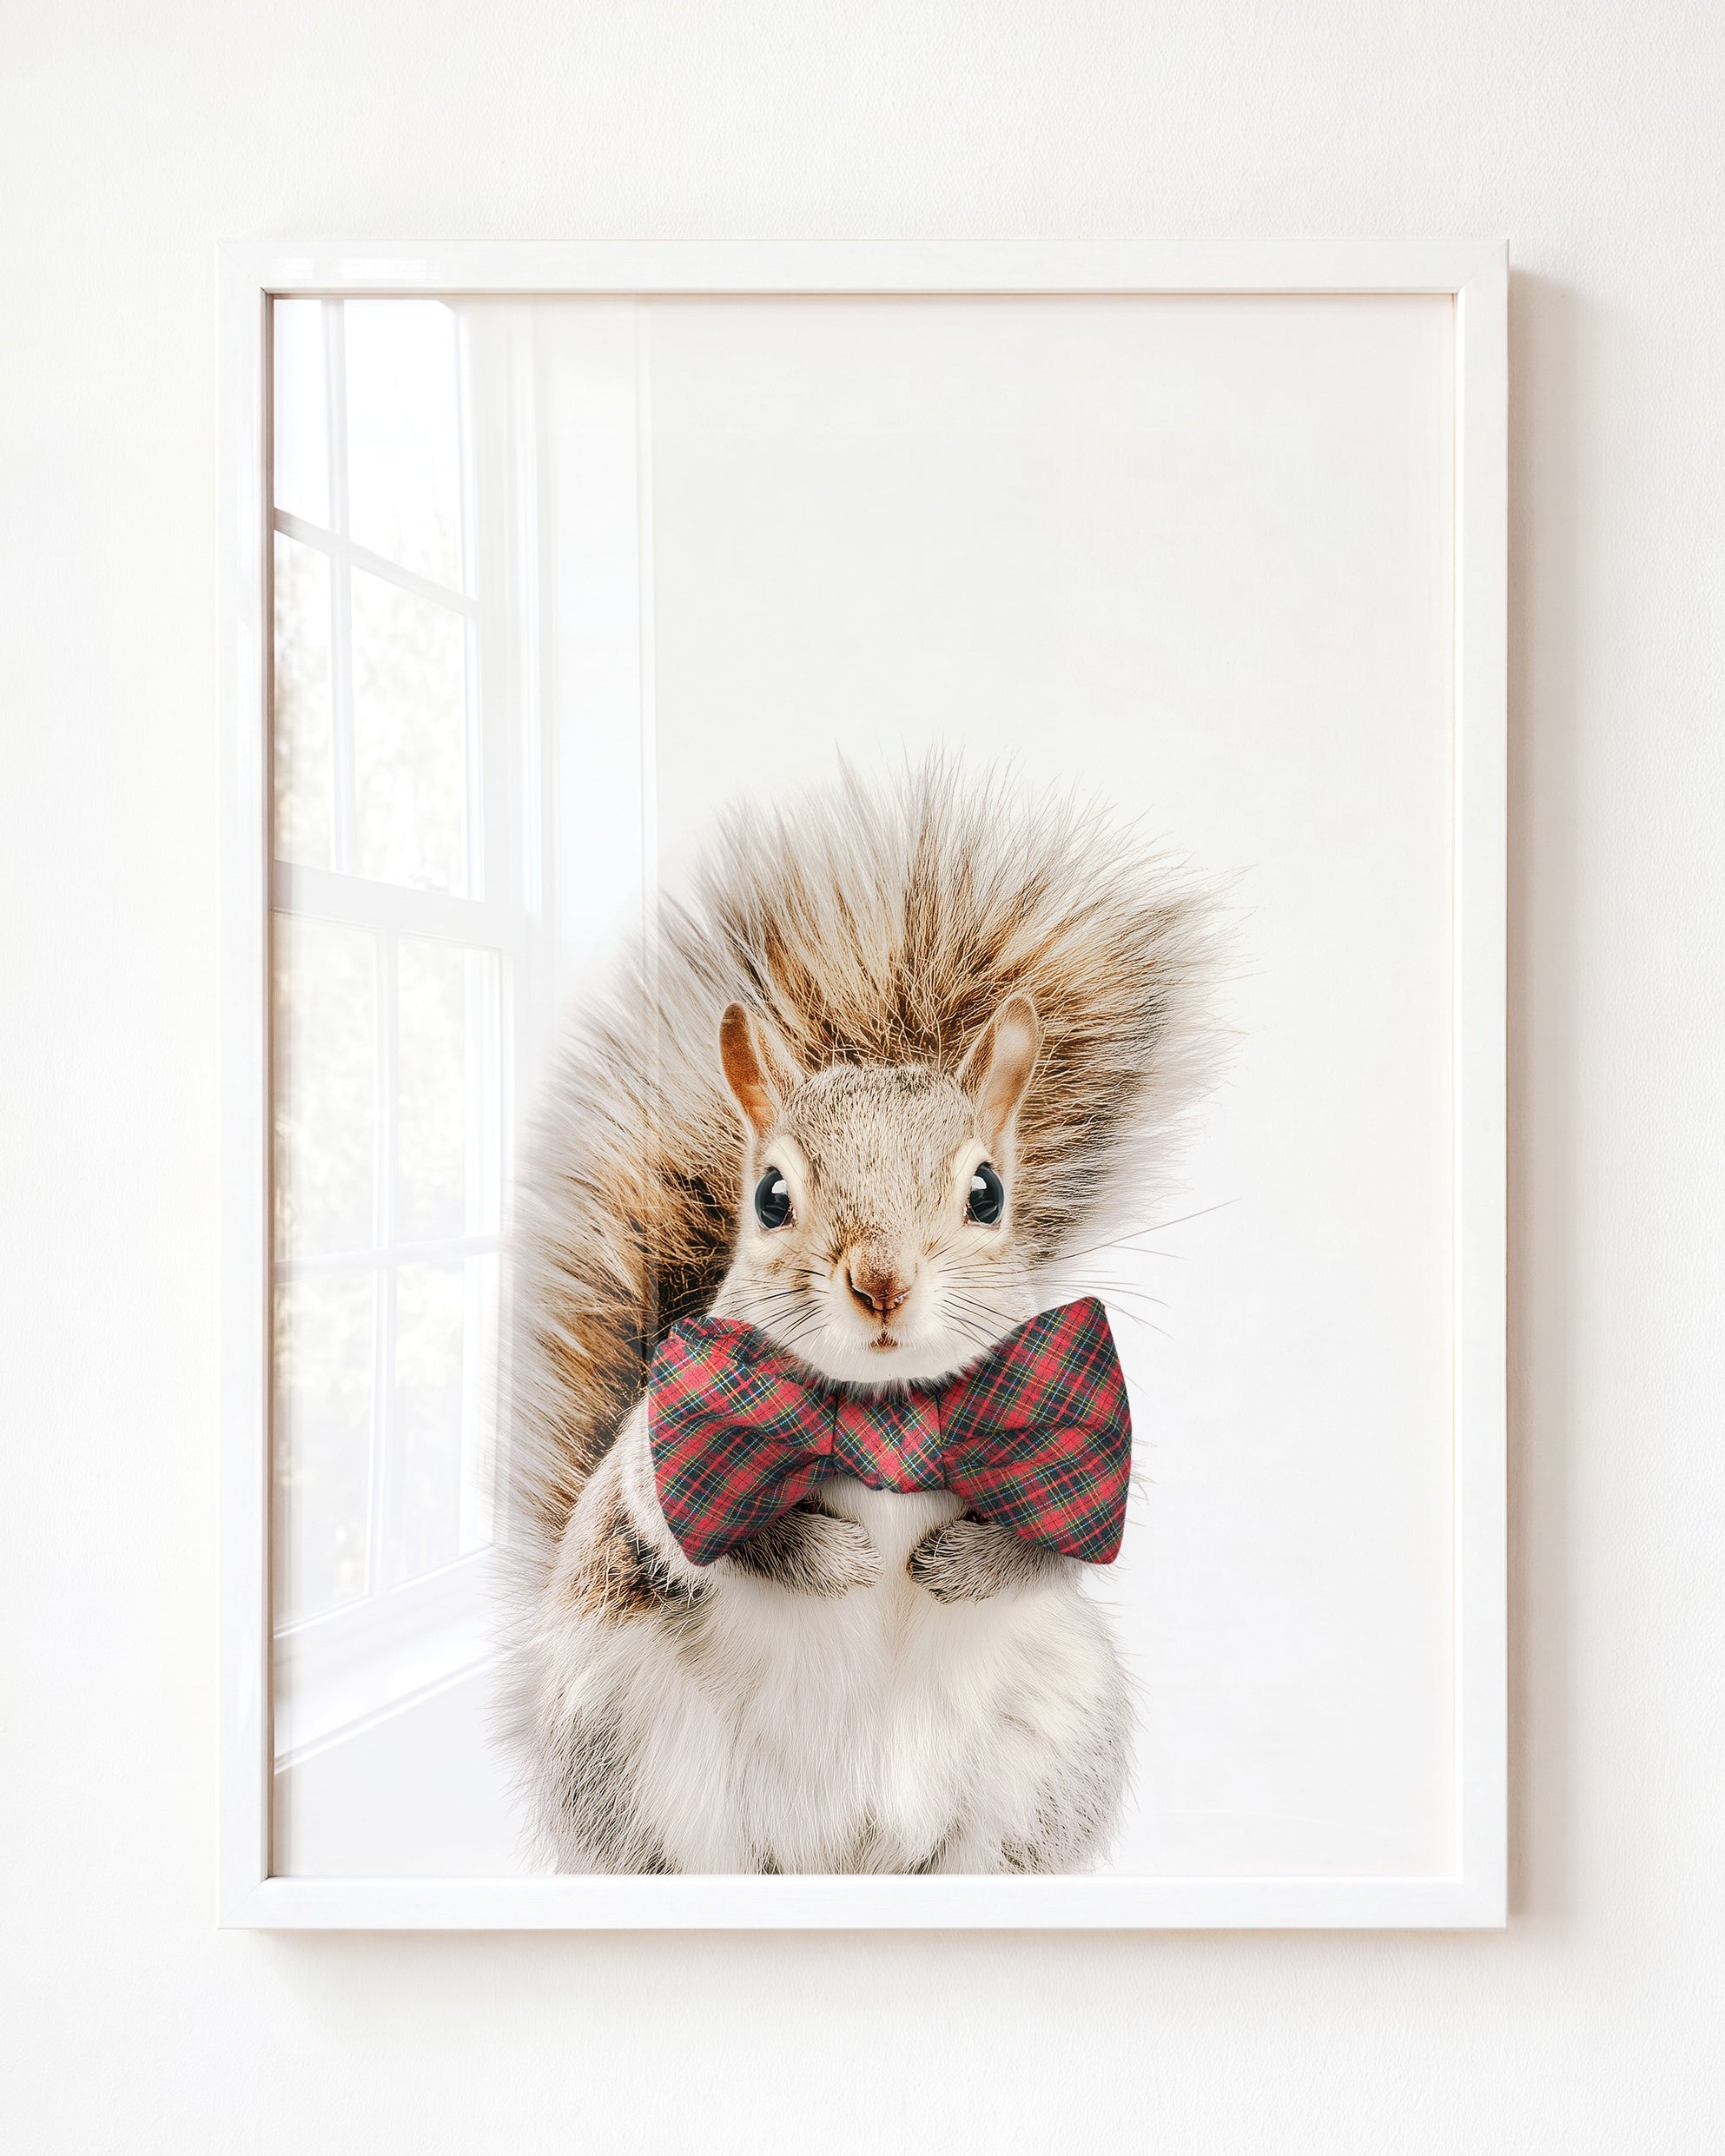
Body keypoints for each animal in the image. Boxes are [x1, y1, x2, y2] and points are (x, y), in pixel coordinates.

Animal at [494, 759, 1219, 1873]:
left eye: (987, 1193)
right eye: (770, 1197)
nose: (880, 1282)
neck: (885, 1416)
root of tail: (846, 1853)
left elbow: (1057, 1541)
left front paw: (962, 1564)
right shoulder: (662, 1458)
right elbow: (705, 1528)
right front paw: (831, 1557)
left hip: (1042, 1754)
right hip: (641, 1758)